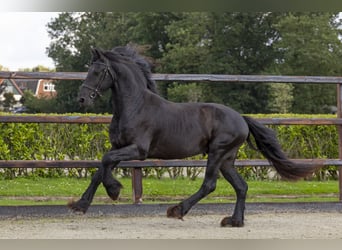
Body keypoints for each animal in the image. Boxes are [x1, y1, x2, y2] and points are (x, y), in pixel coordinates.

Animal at [69, 46, 316, 228]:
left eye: (98, 72)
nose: (82, 99)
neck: (134, 106)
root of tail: (242, 119)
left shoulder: (138, 150)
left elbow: (105, 161)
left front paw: (114, 190)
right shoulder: (119, 146)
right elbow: (101, 168)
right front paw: (80, 205)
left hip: (217, 152)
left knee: (209, 184)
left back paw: (177, 210)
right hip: (227, 159)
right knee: (241, 186)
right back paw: (234, 221)